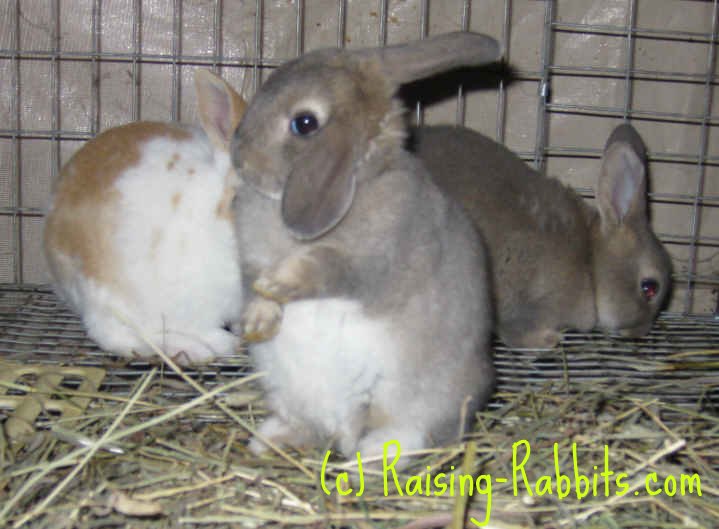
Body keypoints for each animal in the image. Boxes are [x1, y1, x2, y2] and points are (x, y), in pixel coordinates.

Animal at [227, 32, 501, 462]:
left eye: (304, 123)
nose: (240, 158)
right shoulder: (251, 258)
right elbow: (254, 283)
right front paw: (259, 319)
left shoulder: (371, 260)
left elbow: (322, 264)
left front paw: (278, 282)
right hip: (288, 392)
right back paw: (269, 441)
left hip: (414, 403)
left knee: (402, 437)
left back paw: (366, 461)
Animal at [411, 123, 672, 349]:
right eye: (650, 288)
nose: (640, 332)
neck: (590, 263)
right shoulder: (526, 305)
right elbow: (515, 333)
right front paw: (549, 340)